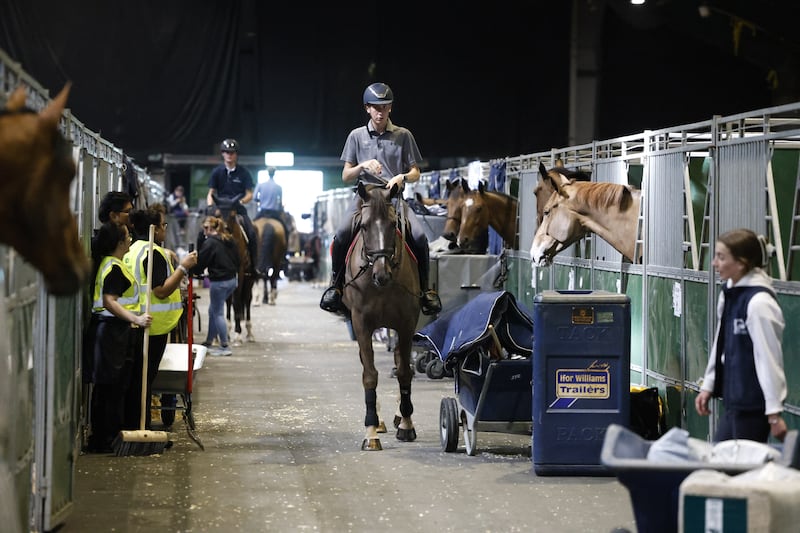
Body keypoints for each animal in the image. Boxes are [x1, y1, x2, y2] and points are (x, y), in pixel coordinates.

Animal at [341, 181, 420, 451]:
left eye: (393, 224)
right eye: (364, 226)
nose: (381, 274)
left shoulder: (407, 323)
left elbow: (405, 371)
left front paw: (407, 425)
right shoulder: (361, 324)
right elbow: (370, 375)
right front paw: (371, 432)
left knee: (398, 360)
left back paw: (398, 416)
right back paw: (380, 420)